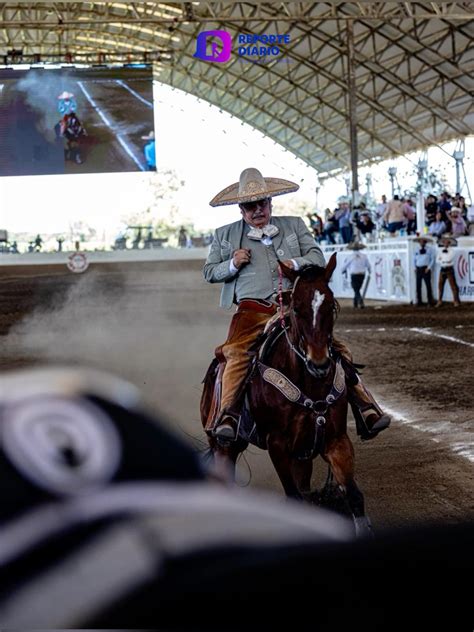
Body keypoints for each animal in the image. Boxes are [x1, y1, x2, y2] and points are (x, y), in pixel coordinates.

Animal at [200, 254, 370, 536]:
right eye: (297, 309)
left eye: (331, 306)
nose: (320, 363)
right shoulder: (277, 444)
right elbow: (294, 497)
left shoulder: (335, 440)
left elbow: (354, 497)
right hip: (223, 445)